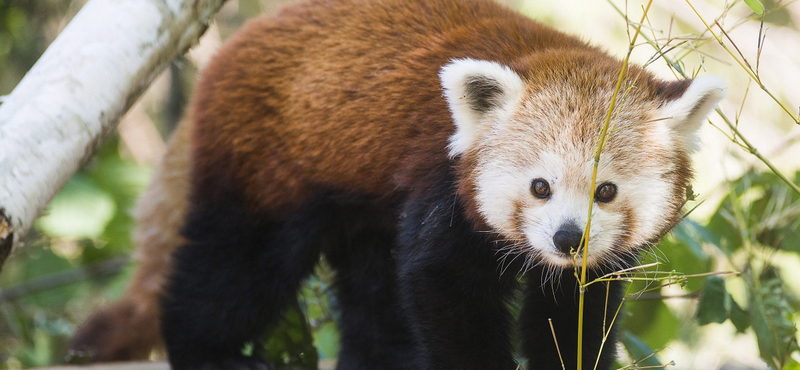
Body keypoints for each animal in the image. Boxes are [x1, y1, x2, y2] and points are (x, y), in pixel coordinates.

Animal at [72, 0, 728, 368]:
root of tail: (241, 39)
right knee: (237, 268)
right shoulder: (440, 184)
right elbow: (443, 289)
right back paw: (210, 353)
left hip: (361, 208)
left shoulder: (590, 269)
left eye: (605, 191)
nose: (568, 238)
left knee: (373, 295)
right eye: (540, 186)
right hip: (273, 162)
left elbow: (574, 315)